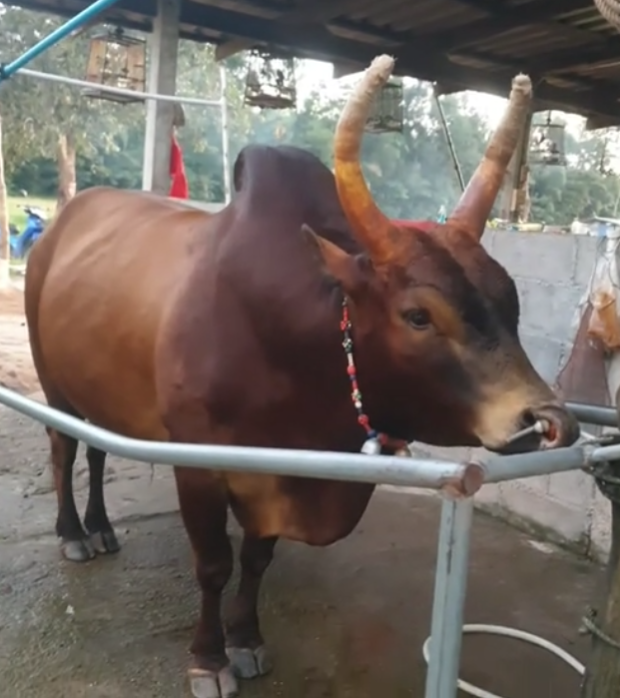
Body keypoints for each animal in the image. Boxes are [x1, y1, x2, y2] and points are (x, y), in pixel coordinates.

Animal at [24, 55, 579, 698]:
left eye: (511, 299)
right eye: (419, 315)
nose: (551, 421)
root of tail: (62, 222)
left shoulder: (280, 473)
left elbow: (256, 560)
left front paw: (247, 641)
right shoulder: (198, 465)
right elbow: (213, 564)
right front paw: (209, 659)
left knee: (95, 452)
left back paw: (102, 527)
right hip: (54, 386)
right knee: (65, 450)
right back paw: (74, 534)